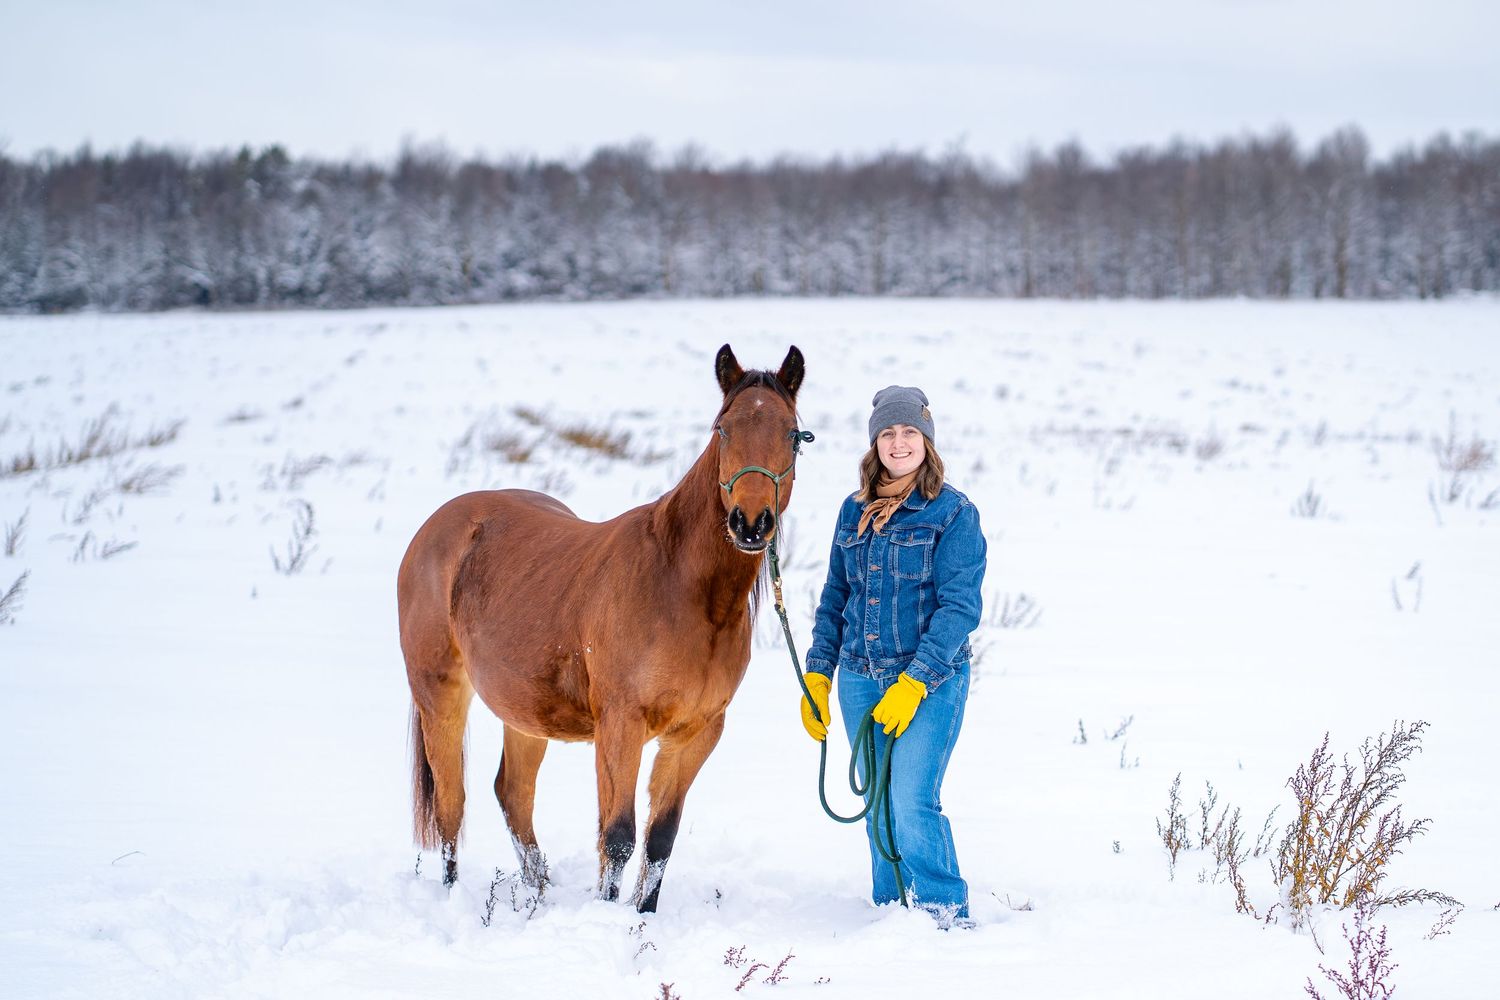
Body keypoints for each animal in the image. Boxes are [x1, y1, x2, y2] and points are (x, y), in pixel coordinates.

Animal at [398, 344, 806, 913]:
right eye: (722, 428)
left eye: (792, 433)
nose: (751, 523)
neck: (682, 589)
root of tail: (435, 529)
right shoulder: (620, 726)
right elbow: (618, 837)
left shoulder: (697, 732)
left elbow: (660, 839)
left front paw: (642, 920)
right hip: (440, 695)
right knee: (451, 805)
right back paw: (456, 897)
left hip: (526, 714)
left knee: (513, 795)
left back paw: (539, 896)